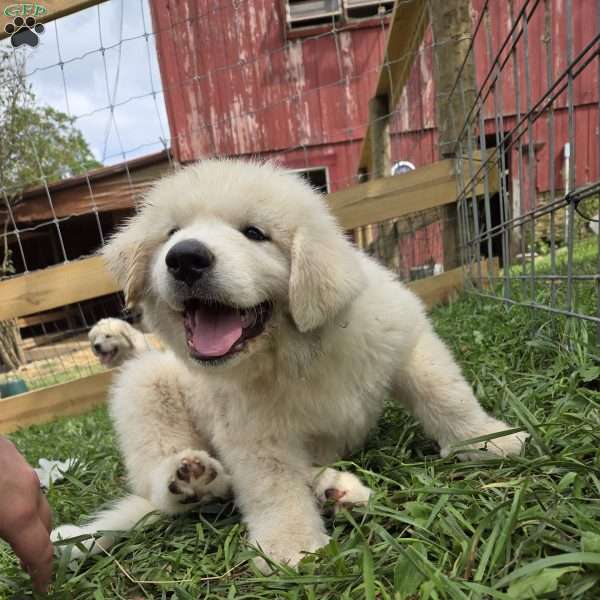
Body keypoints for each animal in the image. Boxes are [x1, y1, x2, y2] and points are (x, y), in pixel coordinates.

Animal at [54, 158, 528, 568]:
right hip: (146, 384)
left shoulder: (405, 339)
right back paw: (194, 479)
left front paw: (488, 439)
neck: (295, 350)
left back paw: (332, 491)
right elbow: (273, 486)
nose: (184, 257)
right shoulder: (254, 433)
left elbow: (445, 393)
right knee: (161, 486)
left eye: (254, 233)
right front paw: (290, 546)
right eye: (171, 232)